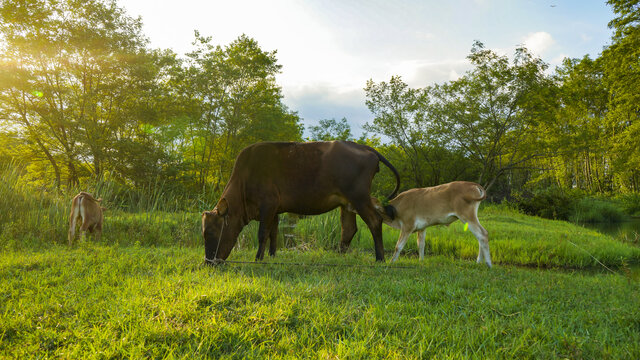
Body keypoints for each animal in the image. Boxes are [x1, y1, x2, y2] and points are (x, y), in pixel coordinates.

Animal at [202, 140, 398, 262]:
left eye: (210, 232)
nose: (209, 262)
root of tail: (362, 146)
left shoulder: (268, 204)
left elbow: (262, 233)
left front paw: (258, 258)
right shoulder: (275, 209)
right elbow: (274, 234)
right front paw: (271, 256)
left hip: (359, 197)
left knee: (374, 221)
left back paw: (380, 258)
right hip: (347, 203)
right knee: (349, 229)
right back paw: (340, 256)